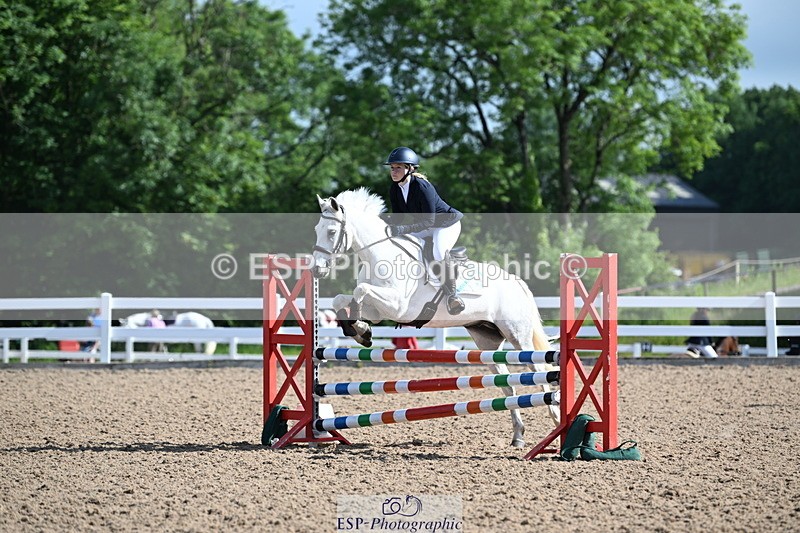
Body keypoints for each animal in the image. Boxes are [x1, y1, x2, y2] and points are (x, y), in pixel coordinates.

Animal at [310, 188, 558, 447]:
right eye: (317, 229)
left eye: (331, 231)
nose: (316, 270)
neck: (379, 256)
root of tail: (516, 282)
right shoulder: (379, 311)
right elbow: (341, 300)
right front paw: (360, 330)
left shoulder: (398, 306)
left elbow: (360, 291)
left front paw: (360, 328)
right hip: (487, 341)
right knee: (507, 386)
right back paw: (518, 435)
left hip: (517, 336)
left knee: (540, 371)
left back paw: (555, 418)